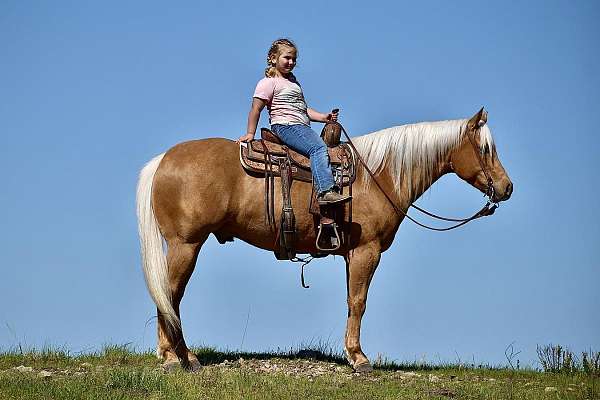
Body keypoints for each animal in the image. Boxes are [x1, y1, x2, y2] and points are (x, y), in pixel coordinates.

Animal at [136, 108, 510, 370]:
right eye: (485, 149)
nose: (507, 187)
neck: (379, 175)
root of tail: (163, 160)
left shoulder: (351, 254)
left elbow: (350, 301)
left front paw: (351, 353)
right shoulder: (367, 251)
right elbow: (359, 302)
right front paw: (359, 359)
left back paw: (174, 355)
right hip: (186, 244)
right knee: (169, 295)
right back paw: (178, 358)